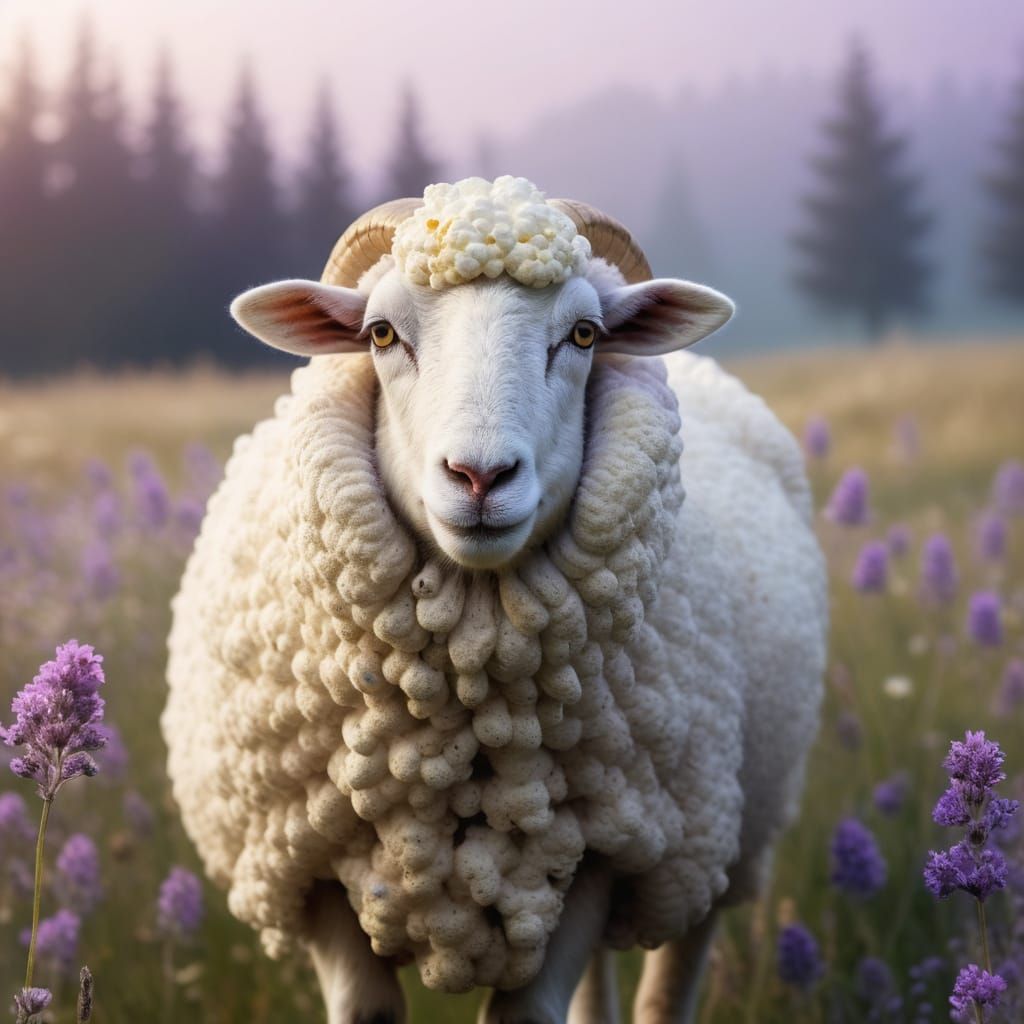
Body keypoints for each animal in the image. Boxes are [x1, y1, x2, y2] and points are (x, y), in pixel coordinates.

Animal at [162, 175, 827, 1024]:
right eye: (381, 334)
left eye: (584, 334)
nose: (479, 477)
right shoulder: (308, 869)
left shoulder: (601, 855)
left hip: (709, 842)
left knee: (669, 983)